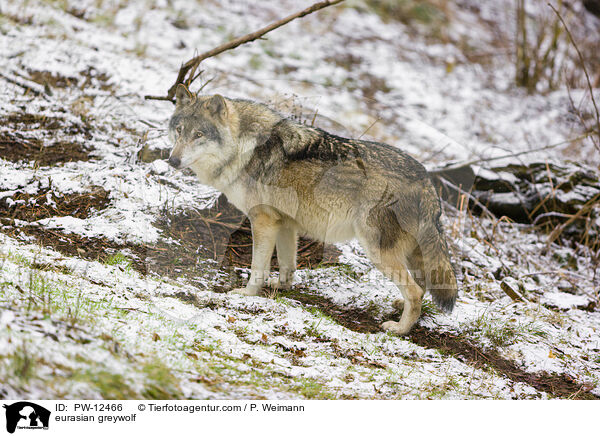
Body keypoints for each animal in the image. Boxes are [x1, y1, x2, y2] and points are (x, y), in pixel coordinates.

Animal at [166, 86, 458, 338]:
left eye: (199, 135)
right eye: (179, 131)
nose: (172, 160)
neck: (243, 148)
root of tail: (427, 181)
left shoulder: (262, 221)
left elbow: (258, 266)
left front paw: (247, 294)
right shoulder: (285, 224)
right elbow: (287, 264)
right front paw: (280, 287)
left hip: (377, 251)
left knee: (416, 291)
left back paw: (399, 329)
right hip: (407, 252)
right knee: (421, 285)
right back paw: (400, 308)